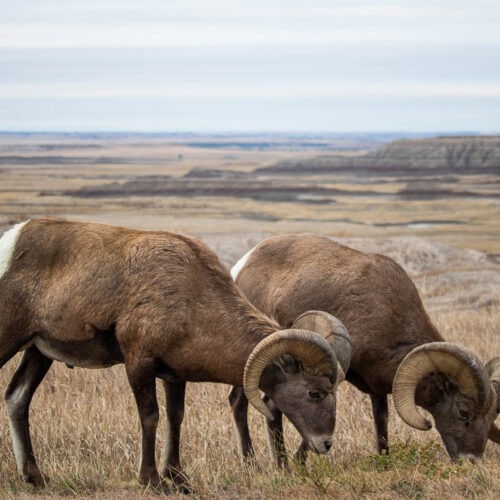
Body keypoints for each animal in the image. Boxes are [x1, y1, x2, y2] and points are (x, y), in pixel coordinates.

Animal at [0, 220, 352, 492]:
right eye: (314, 393)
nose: (326, 444)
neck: (191, 296)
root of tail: (9, 243)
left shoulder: (174, 375)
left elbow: (175, 418)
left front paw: (179, 479)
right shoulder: (139, 364)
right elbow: (150, 417)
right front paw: (152, 481)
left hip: (38, 352)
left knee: (17, 398)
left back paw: (35, 478)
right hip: (11, 341)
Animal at [230, 234, 500, 464]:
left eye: (490, 418)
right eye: (464, 413)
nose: (472, 461)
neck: (389, 317)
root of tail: (243, 264)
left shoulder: (377, 391)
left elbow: (381, 426)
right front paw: (298, 464)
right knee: (245, 404)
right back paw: (257, 463)